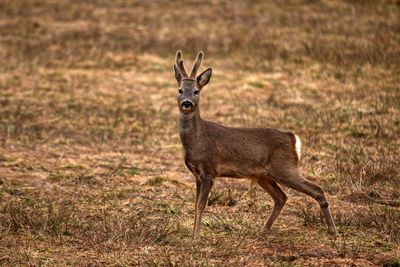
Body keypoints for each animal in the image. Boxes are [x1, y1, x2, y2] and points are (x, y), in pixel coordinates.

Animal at [173, 50, 338, 243]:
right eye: (180, 90)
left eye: (196, 91)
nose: (187, 103)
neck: (197, 140)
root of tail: (292, 138)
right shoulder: (197, 175)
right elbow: (195, 204)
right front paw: (192, 236)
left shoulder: (209, 170)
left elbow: (201, 204)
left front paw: (196, 239)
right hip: (264, 175)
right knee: (281, 197)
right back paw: (263, 230)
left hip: (285, 168)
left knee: (317, 189)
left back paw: (333, 232)